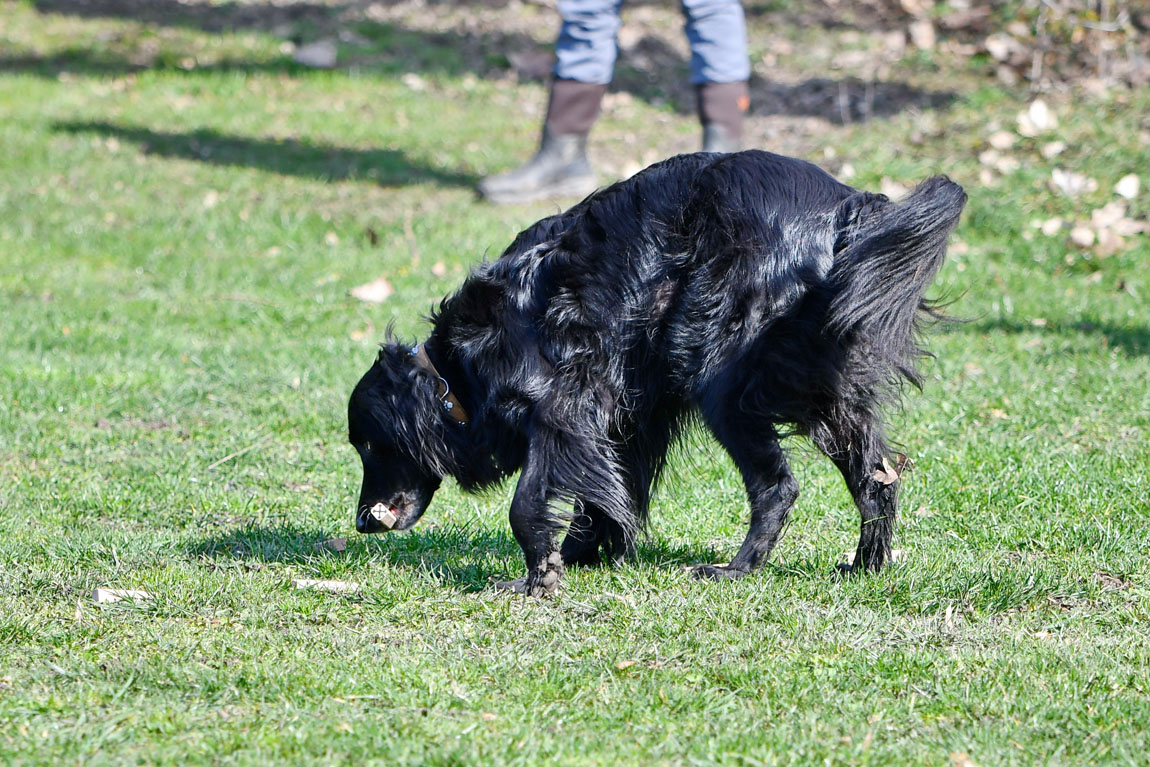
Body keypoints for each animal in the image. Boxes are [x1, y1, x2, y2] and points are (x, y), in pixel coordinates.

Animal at [345, 148, 966, 593]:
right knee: (877, 476)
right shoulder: (623, 414)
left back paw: (736, 568)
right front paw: (586, 554)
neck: (456, 371)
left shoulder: (562, 407)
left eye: (369, 446)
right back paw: (866, 565)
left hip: (720, 376)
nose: (359, 524)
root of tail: (847, 208)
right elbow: (607, 491)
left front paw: (539, 576)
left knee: (778, 486)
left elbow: (528, 503)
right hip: (824, 382)